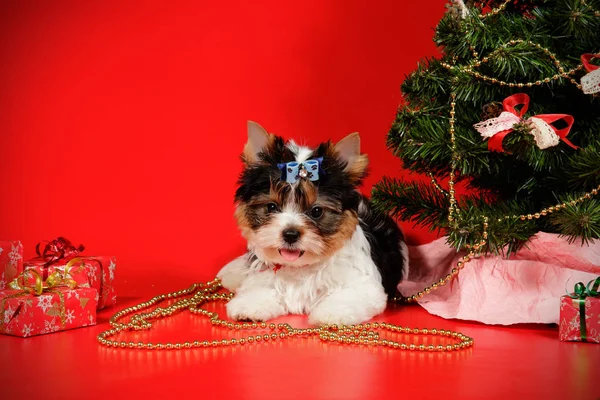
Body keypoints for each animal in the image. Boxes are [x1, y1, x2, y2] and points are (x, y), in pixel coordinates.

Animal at [218, 121, 410, 324]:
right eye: (271, 207)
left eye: (316, 211)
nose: (290, 234)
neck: (300, 266)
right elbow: (259, 288)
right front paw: (249, 305)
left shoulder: (363, 285)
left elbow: (352, 296)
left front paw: (332, 313)